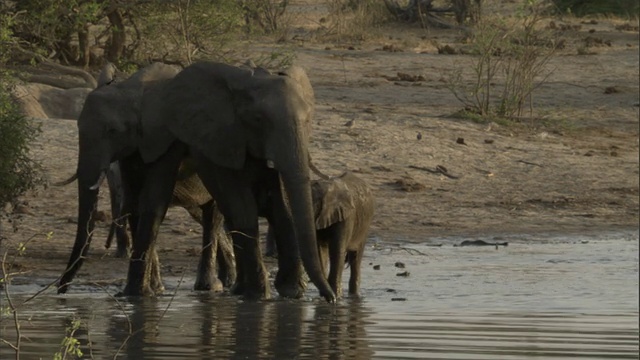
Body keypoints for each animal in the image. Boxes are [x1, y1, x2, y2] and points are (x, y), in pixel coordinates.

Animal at [141, 62, 338, 300]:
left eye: (308, 119)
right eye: (258, 119)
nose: (331, 299)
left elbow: (282, 209)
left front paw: (291, 293)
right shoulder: (222, 141)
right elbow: (244, 209)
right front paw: (260, 296)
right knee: (229, 213)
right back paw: (237, 289)